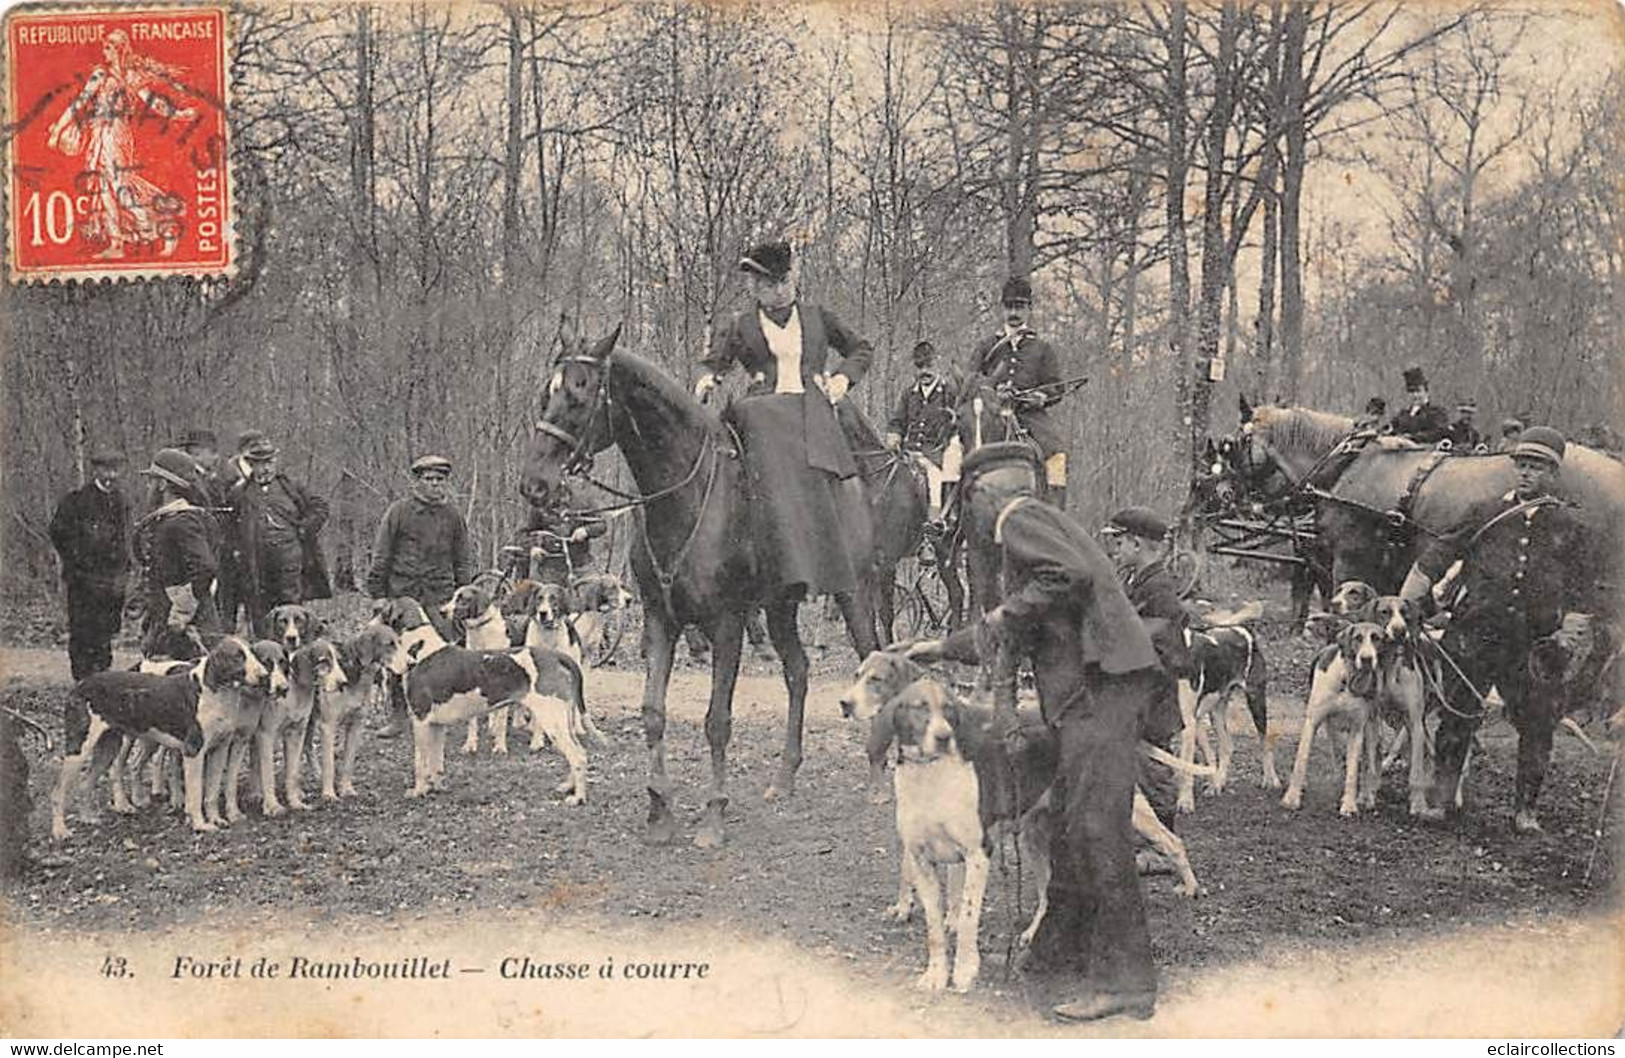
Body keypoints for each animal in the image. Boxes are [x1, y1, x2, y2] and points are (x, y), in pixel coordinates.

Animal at [516, 326, 890, 851]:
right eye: (546, 394)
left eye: (579, 393)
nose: (535, 485)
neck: (685, 497)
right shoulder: (661, 620)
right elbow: (653, 711)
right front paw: (659, 810)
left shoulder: (726, 624)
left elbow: (717, 721)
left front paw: (713, 815)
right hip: (780, 607)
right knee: (797, 672)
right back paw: (785, 776)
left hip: (853, 593)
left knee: (869, 656)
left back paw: (877, 777)